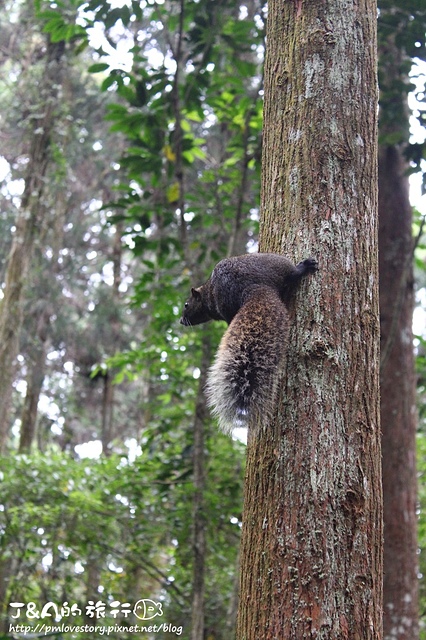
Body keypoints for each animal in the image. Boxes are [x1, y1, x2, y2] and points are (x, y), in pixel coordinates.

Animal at [178, 252, 318, 432]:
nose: (181, 321)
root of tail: (251, 287)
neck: (207, 293)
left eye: (186, 304)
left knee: (292, 274)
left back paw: (303, 266)